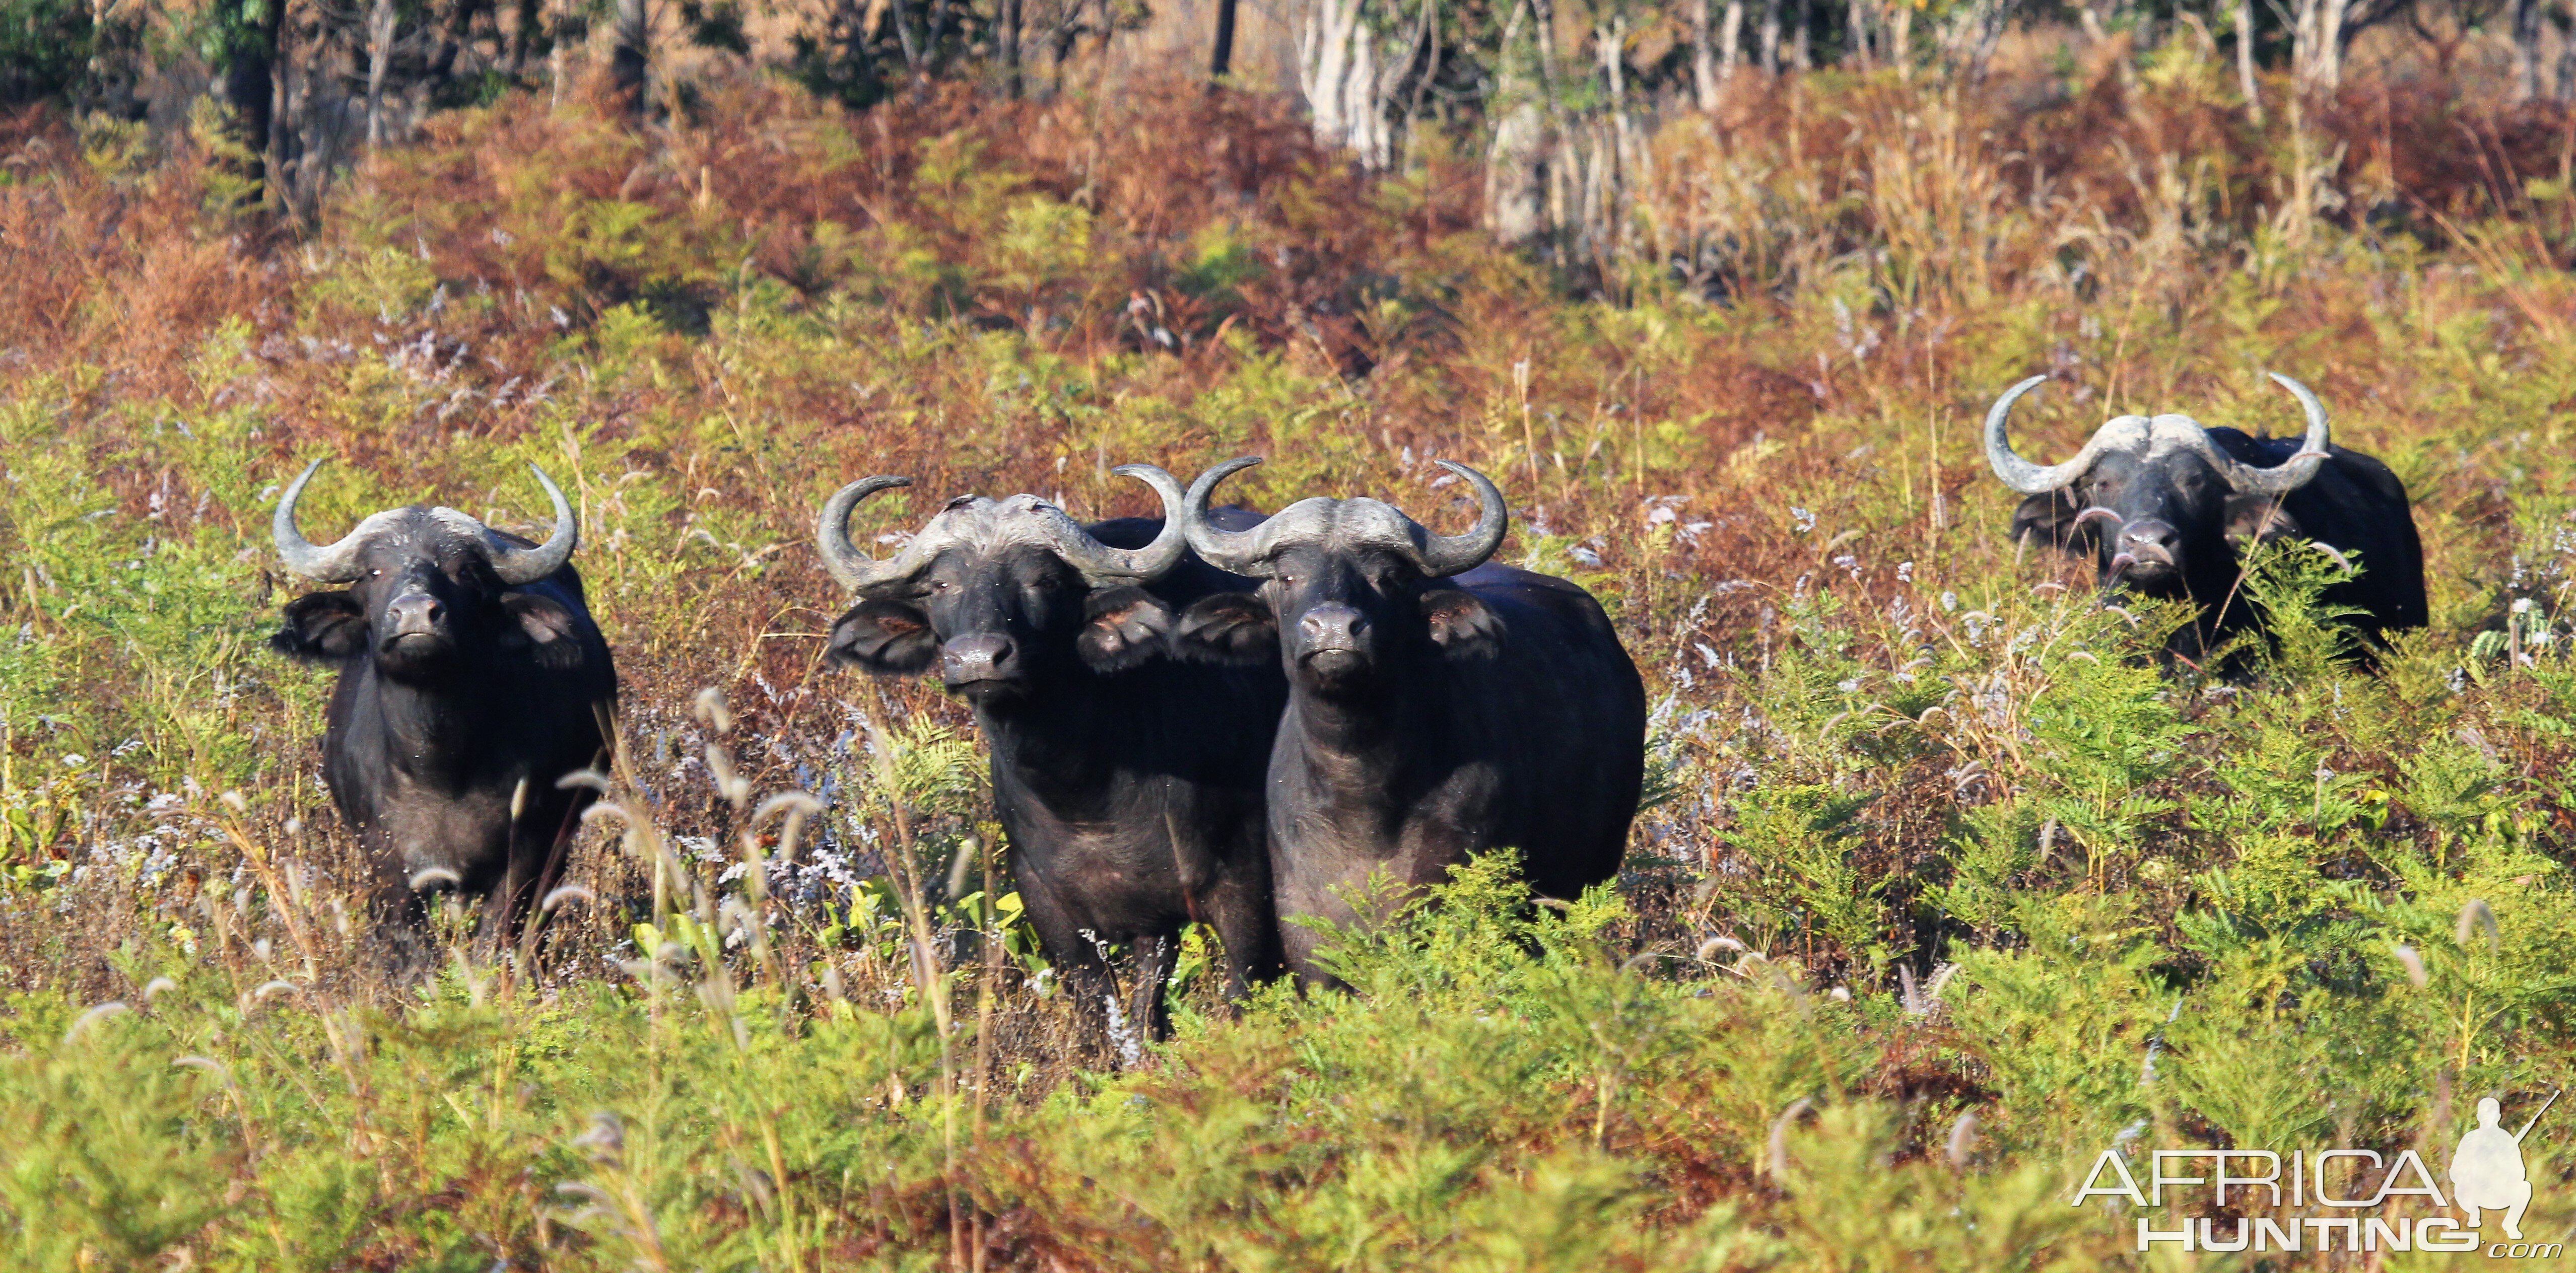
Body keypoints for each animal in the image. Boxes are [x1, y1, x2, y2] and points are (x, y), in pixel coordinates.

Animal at [267, 458, 618, 933]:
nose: (417, 613)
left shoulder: (528, 852)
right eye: (374, 572)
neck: (437, 765)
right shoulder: (387, 866)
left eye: (464, 571)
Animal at [819, 464, 1288, 1046]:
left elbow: (1244, 992)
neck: (1089, 793)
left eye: (1041, 580)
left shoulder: (1244, 887)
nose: (979, 658)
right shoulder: (1055, 907)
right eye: (941, 584)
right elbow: (1104, 1009)